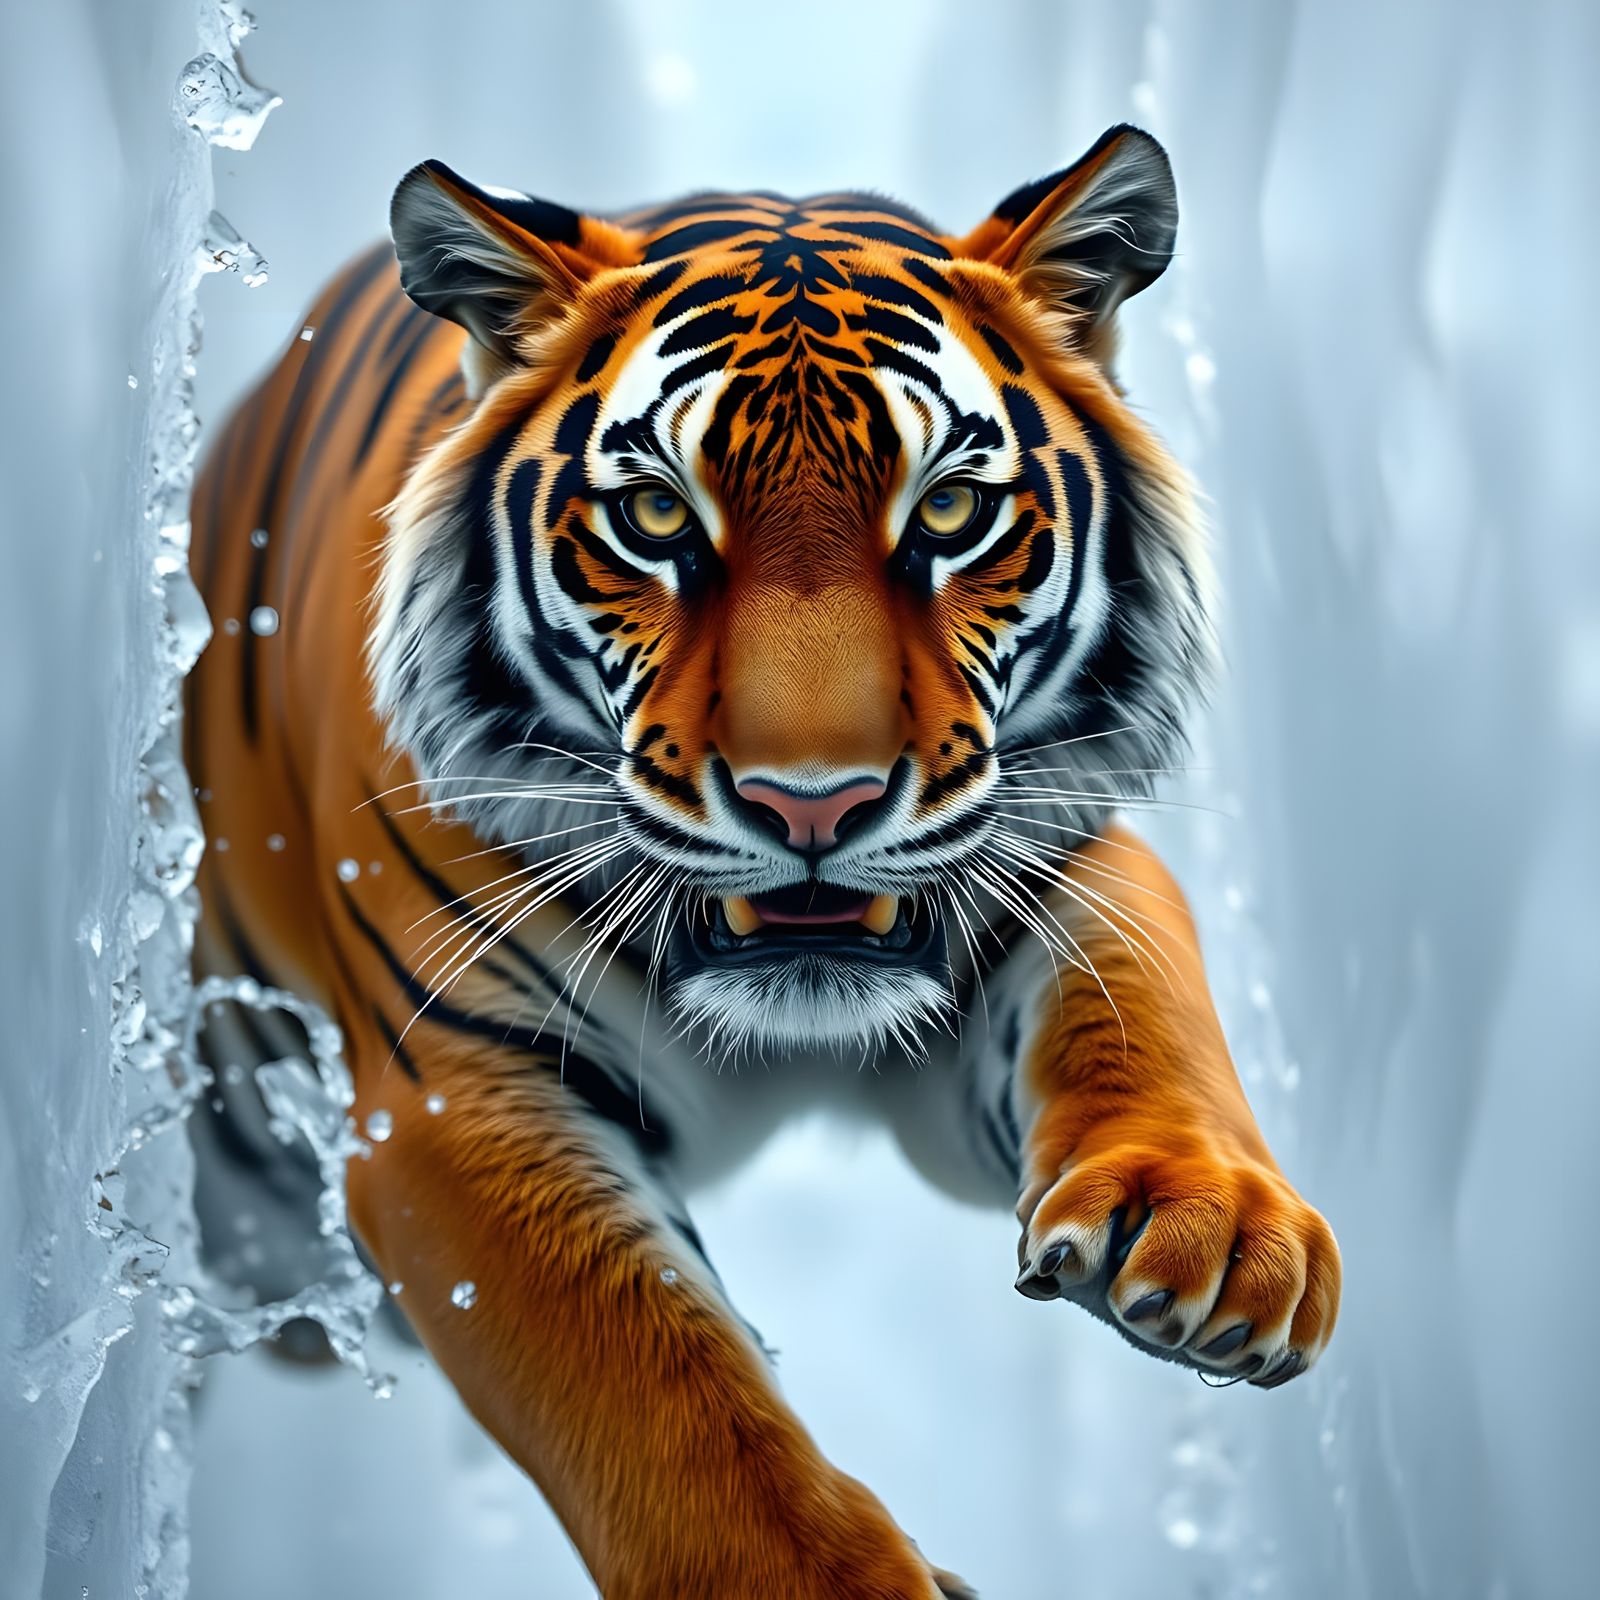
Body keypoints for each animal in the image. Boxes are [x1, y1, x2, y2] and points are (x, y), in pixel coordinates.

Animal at [186, 124, 1340, 1598]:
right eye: (655, 519)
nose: (813, 805)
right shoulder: (449, 1089)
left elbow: (1139, 992)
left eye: (950, 512)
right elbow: (652, 1375)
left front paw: (1208, 1225)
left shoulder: (1039, 871)